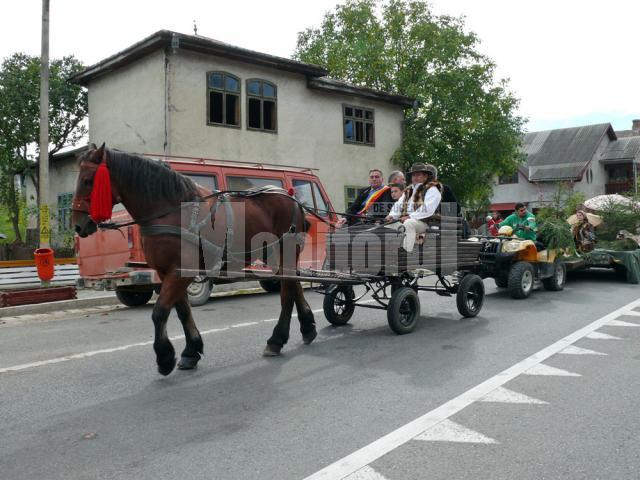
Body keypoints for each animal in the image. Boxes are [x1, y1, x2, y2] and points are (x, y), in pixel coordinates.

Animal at [72, 142, 318, 376]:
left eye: (88, 180)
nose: (78, 225)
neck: (170, 211)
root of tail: (291, 197)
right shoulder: (168, 272)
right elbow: (182, 311)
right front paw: (191, 351)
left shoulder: (180, 272)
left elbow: (160, 312)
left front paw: (165, 358)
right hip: (275, 257)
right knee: (294, 287)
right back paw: (306, 329)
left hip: (286, 252)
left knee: (287, 294)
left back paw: (277, 340)